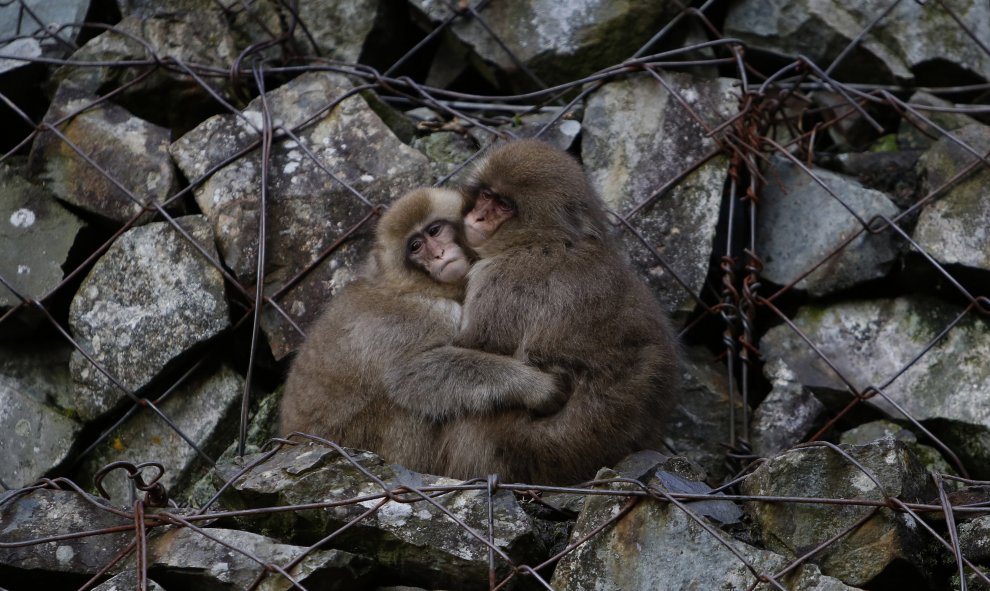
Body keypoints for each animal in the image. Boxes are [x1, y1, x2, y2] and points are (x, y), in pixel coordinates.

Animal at [280, 187, 564, 474]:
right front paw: (533, 386)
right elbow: (408, 374)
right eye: (415, 246)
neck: (414, 286)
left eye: (435, 231)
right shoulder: (421, 316)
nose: (439, 254)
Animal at [440, 141, 680, 488]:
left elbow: (475, 345)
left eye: (504, 205)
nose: (479, 216)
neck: (545, 239)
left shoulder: (500, 279)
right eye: (487, 195)